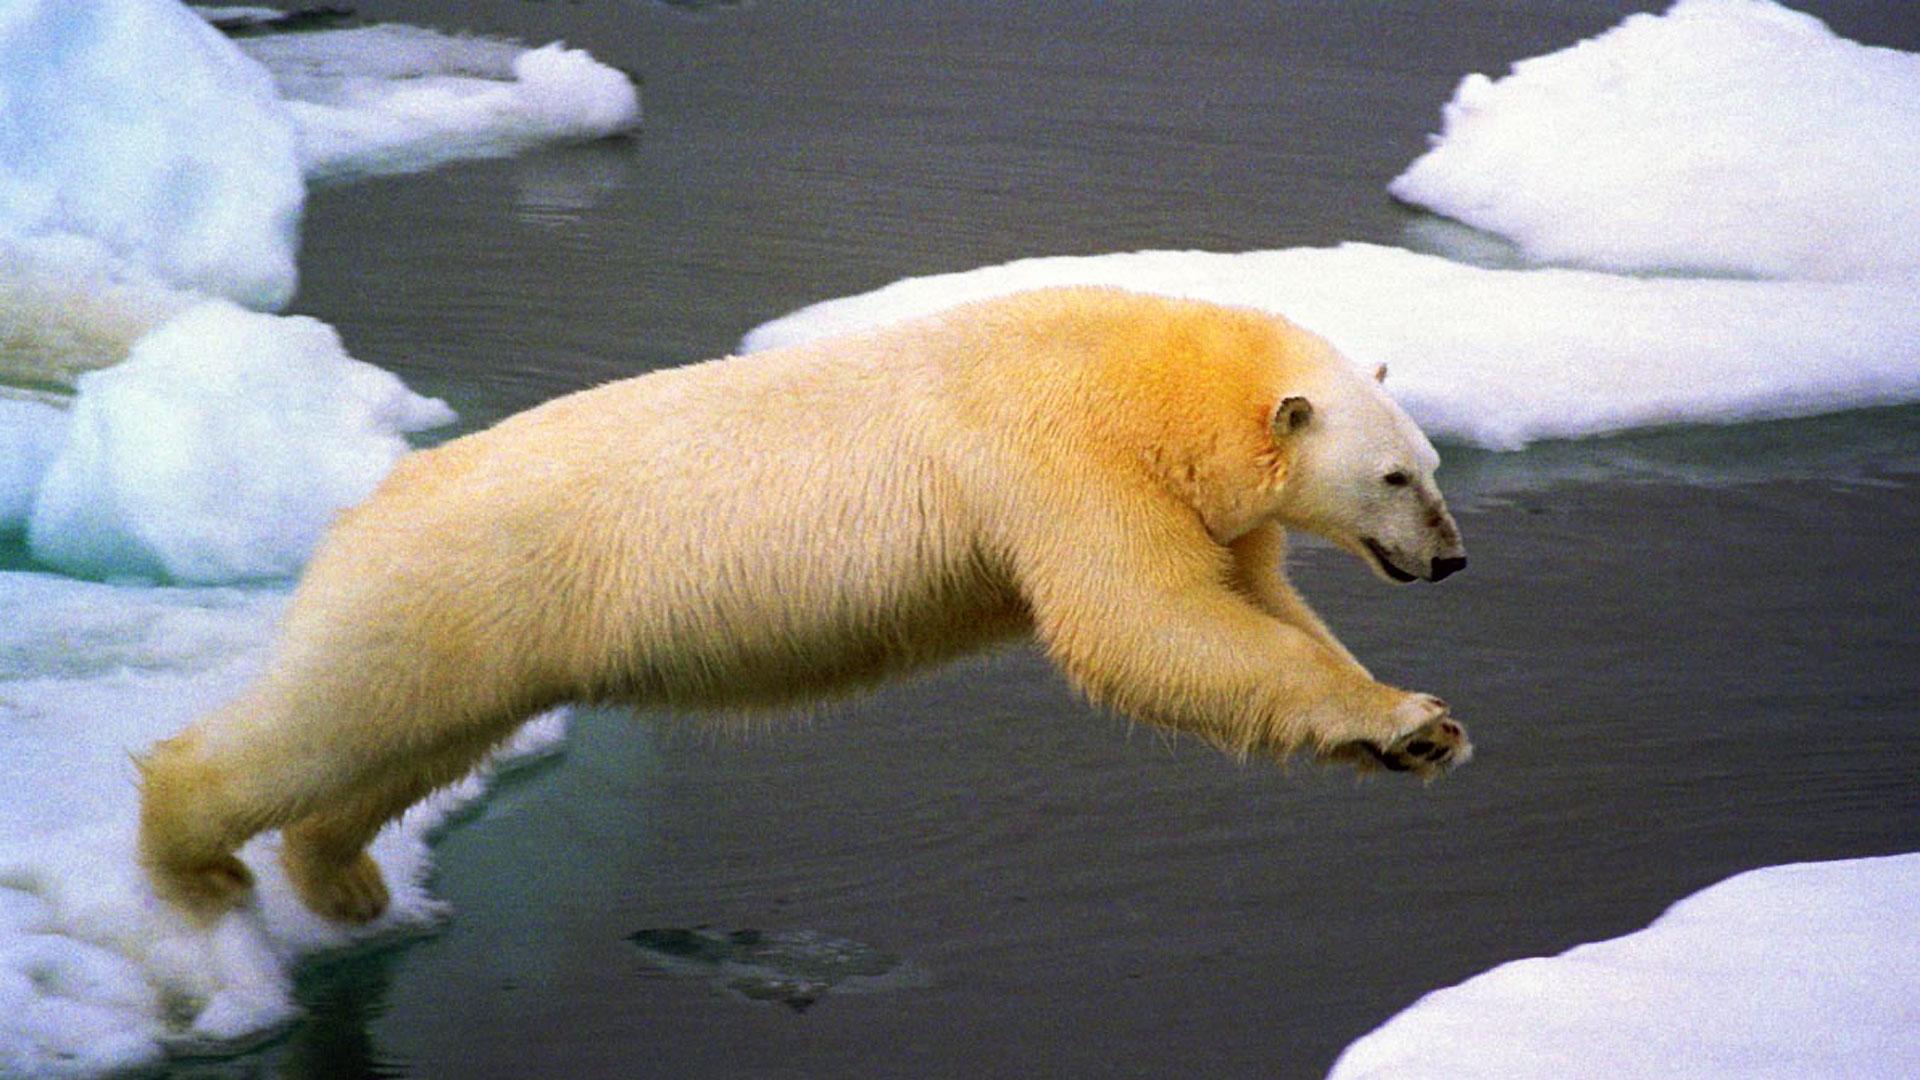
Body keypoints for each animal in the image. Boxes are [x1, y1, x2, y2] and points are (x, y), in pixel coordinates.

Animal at [137, 286, 1470, 926]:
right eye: (1395, 478)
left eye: (1432, 464)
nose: (1452, 560)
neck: (1151, 381)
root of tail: (363, 506)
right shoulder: (1058, 458)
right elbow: (1143, 625)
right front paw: (1409, 717)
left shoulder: (1202, 506)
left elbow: (1251, 607)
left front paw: (1416, 730)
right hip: (452, 583)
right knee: (332, 717)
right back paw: (194, 861)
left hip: (485, 627)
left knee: (413, 742)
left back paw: (343, 878)